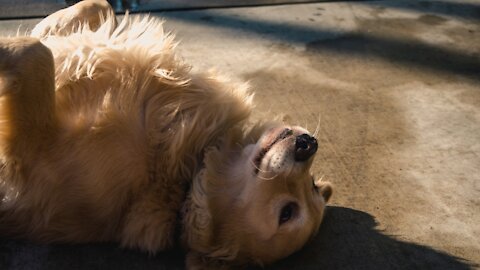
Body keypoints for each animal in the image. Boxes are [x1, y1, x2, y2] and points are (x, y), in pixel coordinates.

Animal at [0, 0, 330, 268]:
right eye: (313, 185)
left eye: (287, 213)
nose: (308, 144)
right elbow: (94, 9)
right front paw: (54, 25)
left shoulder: (34, 151)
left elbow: (36, 53)